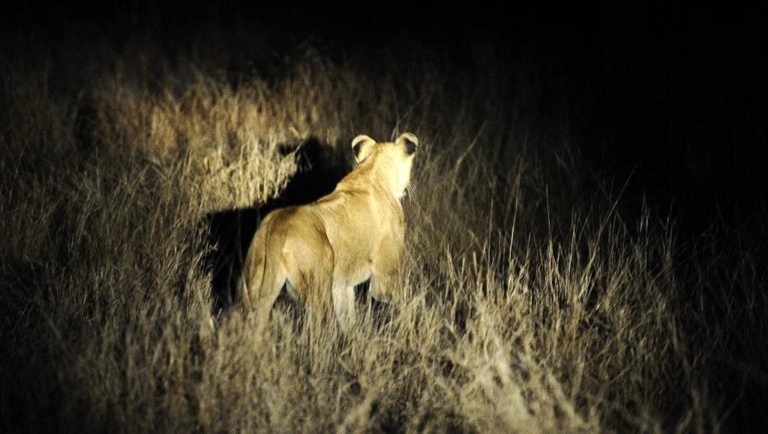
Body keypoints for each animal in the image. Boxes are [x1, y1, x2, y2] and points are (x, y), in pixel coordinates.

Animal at [238, 133, 419, 332]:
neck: (371, 170)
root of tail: (279, 225)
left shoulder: (342, 285)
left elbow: (348, 317)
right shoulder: (385, 276)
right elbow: (397, 299)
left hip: (254, 284)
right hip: (318, 287)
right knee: (318, 325)